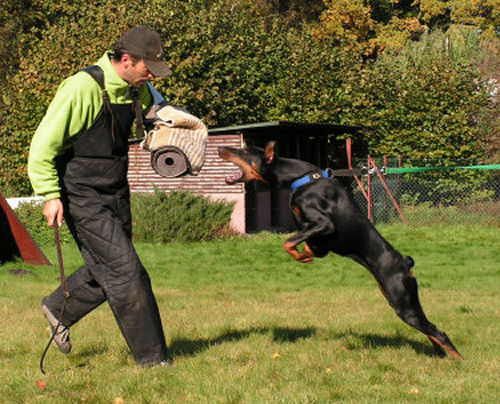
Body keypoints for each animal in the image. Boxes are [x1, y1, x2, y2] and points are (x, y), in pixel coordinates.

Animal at [219, 140, 460, 358]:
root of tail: (405, 262)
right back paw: (438, 355)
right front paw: (305, 255)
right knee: (432, 331)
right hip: (399, 299)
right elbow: (308, 245)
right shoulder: (319, 240)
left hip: (401, 298)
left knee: (440, 333)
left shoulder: (324, 224)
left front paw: (301, 257)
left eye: (245, 151)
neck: (302, 179)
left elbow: (288, 242)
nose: (220, 148)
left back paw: (459, 362)